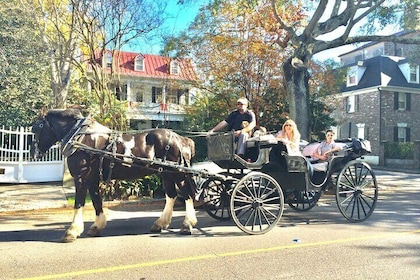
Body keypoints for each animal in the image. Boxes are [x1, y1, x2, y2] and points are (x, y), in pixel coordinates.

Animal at [30, 108, 198, 242]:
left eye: (37, 128)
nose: (33, 153)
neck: (81, 137)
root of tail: (181, 138)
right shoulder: (92, 179)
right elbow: (96, 201)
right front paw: (96, 227)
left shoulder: (81, 177)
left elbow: (78, 203)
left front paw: (72, 232)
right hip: (166, 173)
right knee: (171, 195)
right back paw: (160, 223)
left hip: (177, 173)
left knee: (187, 194)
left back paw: (187, 224)